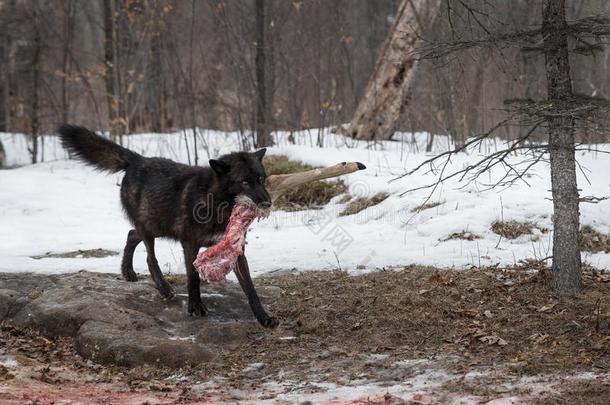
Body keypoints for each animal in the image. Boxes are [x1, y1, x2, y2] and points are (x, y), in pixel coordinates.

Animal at [57, 124, 276, 326]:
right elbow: (193, 278)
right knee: (149, 257)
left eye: (261, 178)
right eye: (244, 182)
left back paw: (127, 271)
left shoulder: (235, 249)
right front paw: (195, 307)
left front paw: (264, 317)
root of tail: (137, 160)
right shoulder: (189, 244)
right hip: (151, 229)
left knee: (131, 234)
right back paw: (162, 287)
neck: (217, 202)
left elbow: (250, 288)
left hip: (157, 226)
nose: (268, 203)